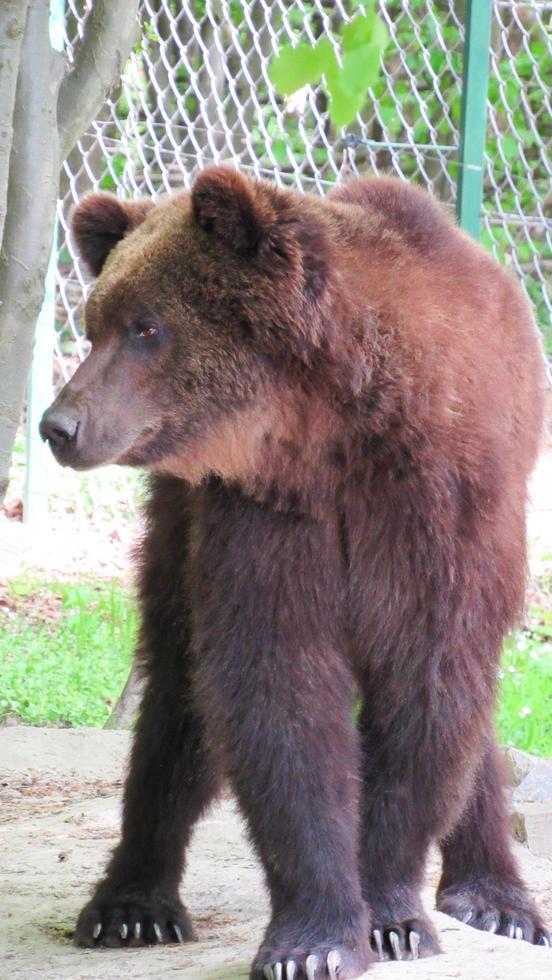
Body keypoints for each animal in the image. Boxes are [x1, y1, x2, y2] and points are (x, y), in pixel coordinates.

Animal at [41, 165, 548, 976]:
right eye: (97, 324)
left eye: (146, 327)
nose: (59, 425)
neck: (337, 425)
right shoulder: (266, 515)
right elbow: (278, 689)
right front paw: (313, 937)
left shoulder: (440, 512)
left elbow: (429, 691)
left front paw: (391, 917)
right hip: (178, 520)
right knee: (177, 691)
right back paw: (132, 904)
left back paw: (495, 898)